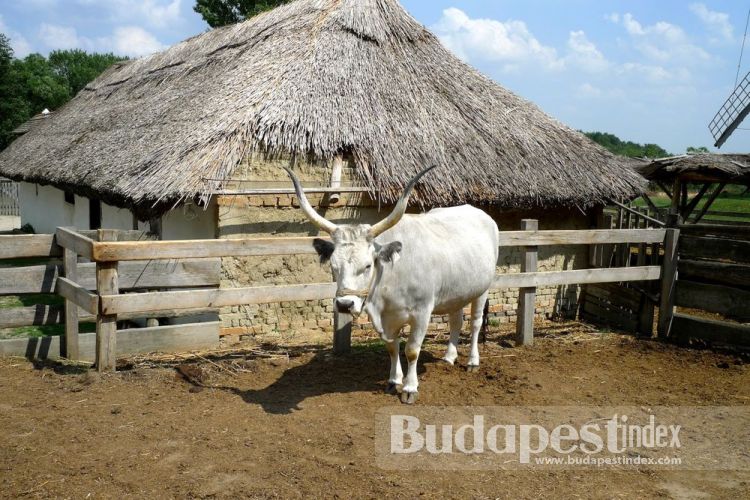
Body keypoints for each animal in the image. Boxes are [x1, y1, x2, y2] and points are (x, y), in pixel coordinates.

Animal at [288, 166, 500, 404]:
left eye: (368, 265)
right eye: (333, 266)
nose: (344, 305)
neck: (391, 278)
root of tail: (479, 213)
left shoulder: (422, 312)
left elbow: (412, 350)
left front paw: (409, 388)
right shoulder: (386, 318)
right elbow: (392, 347)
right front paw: (394, 380)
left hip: (482, 289)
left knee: (475, 323)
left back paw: (473, 361)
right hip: (456, 293)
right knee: (456, 321)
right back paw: (448, 357)